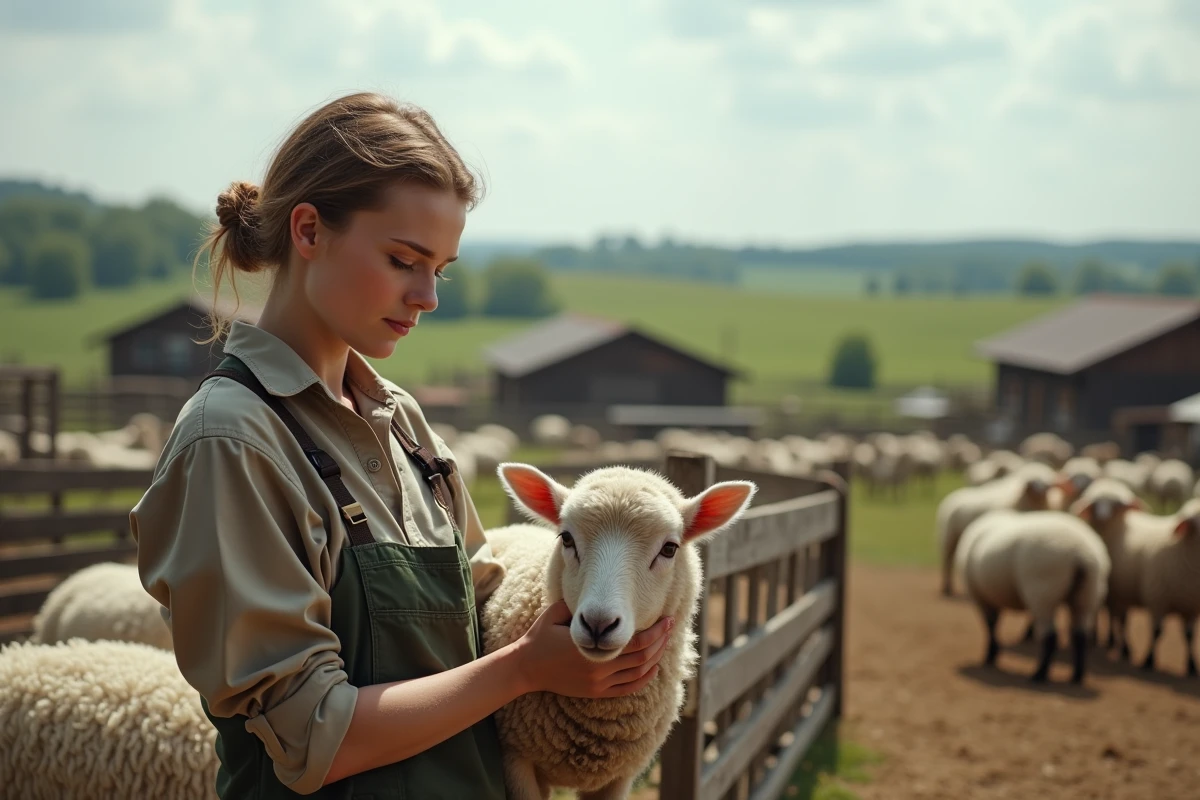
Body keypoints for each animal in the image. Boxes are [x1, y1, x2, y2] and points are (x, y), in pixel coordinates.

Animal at [481, 463, 756, 800]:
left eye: (669, 548)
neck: (600, 723)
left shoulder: (620, 776)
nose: (598, 624)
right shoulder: (515, 759)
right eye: (566, 538)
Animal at [936, 462, 1058, 596]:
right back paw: (947, 588)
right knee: (947, 562)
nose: (1043, 490)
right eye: (1032, 483)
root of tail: (952, 496)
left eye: (1046, 482)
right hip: (949, 537)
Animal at [954, 509, 1110, 683]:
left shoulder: (980, 596)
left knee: (1050, 636)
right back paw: (1077, 676)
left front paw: (991, 656)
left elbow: (990, 624)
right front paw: (992, 654)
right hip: (1088, 592)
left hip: (1043, 591)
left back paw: (1040, 674)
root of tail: (1081, 553)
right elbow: (993, 623)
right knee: (1080, 636)